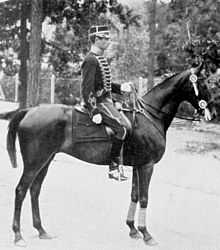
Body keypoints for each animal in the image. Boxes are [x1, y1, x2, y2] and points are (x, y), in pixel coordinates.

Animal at [5, 63, 215, 247]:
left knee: (34, 190)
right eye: (203, 83)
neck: (149, 115)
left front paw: (132, 229)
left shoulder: (138, 166)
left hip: (45, 161)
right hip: (35, 162)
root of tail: (29, 111)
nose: (212, 112)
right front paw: (146, 233)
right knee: (21, 190)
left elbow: (134, 195)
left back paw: (41, 230)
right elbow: (144, 197)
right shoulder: (147, 165)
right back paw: (18, 235)